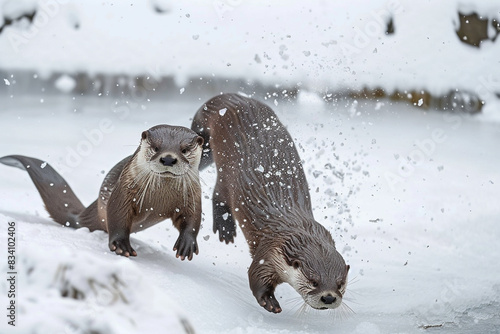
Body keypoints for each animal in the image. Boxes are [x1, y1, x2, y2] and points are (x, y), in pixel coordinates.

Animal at [0, 125, 203, 260]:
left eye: (185, 149)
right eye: (155, 147)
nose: (168, 158)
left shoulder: (193, 195)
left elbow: (193, 218)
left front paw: (186, 244)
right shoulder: (123, 190)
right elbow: (117, 215)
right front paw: (121, 245)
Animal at [192, 93, 352, 314]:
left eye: (340, 283)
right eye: (313, 281)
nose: (328, 297)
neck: (302, 231)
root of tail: (234, 100)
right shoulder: (268, 251)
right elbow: (255, 274)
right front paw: (269, 301)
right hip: (226, 170)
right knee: (218, 194)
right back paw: (225, 230)